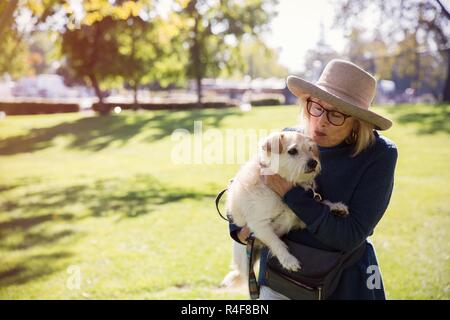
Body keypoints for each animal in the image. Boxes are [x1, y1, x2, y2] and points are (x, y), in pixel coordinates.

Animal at [221, 131, 348, 288]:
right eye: (292, 151)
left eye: (310, 149)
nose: (313, 162)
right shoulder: (260, 225)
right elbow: (276, 243)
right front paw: (288, 260)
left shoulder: (298, 219)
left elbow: (320, 203)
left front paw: (336, 207)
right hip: (245, 258)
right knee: (242, 273)